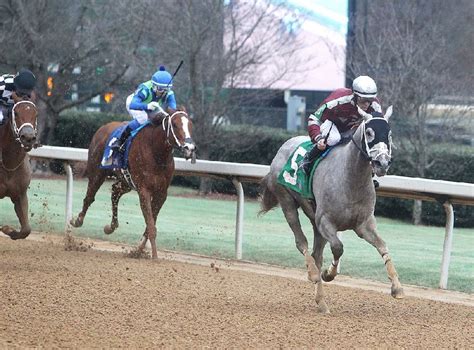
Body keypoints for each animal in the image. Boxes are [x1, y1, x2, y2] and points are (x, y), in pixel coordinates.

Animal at [0, 93, 38, 241]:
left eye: (36, 113)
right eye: (15, 113)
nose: (28, 137)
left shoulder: (20, 194)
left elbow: (26, 230)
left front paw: (8, 229)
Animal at [71, 108, 196, 258]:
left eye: (191, 125)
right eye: (175, 125)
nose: (189, 148)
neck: (156, 152)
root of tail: (103, 127)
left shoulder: (161, 193)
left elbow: (151, 223)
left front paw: (139, 249)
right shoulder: (144, 190)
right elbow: (151, 225)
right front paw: (154, 257)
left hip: (126, 181)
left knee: (115, 192)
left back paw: (110, 227)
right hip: (97, 172)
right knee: (89, 197)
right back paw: (77, 221)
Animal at [260, 106, 404, 312]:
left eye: (389, 134)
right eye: (369, 132)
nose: (382, 163)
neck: (351, 179)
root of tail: (285, 145)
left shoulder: (364, 224)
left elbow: (383, 246)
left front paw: (397, 287)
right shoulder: (326, 222)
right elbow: (338, 247)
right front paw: (328, 273)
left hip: (313, 217)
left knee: (316, 254)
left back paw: (321, 302)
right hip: (286, 200)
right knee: (301, 243)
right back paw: (313, 273)